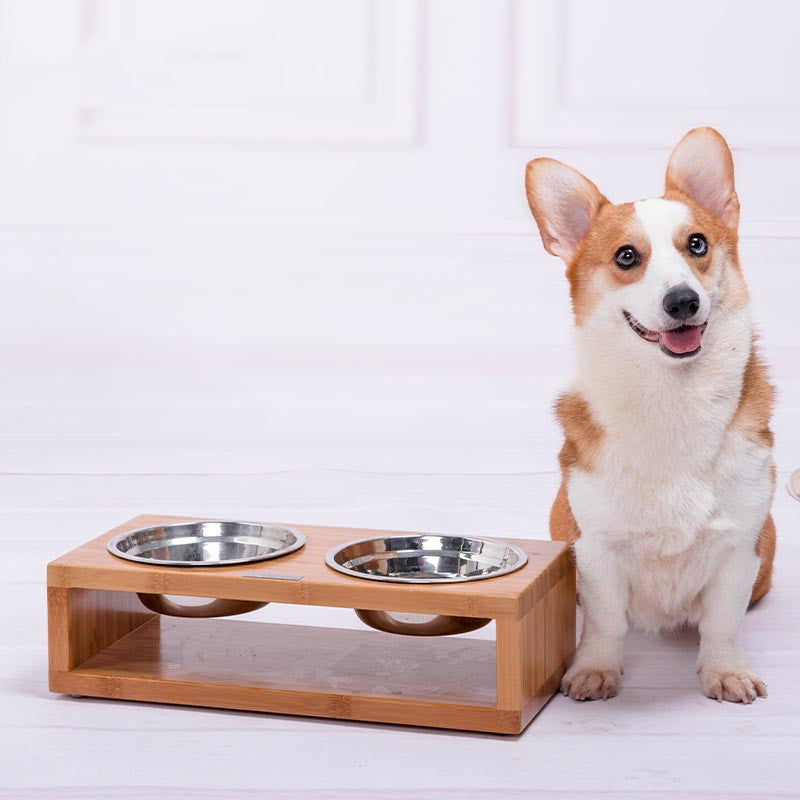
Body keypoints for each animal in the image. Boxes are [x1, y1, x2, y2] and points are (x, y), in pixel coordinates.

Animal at [524, 128, 776, 704]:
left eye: (697, 244)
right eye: (626, 257)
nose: (683, 301)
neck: (671, 398)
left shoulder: (739, 549)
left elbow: (722, 624)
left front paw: (724, 672)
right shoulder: (595, 550)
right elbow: (605, 623)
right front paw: (596, 670)